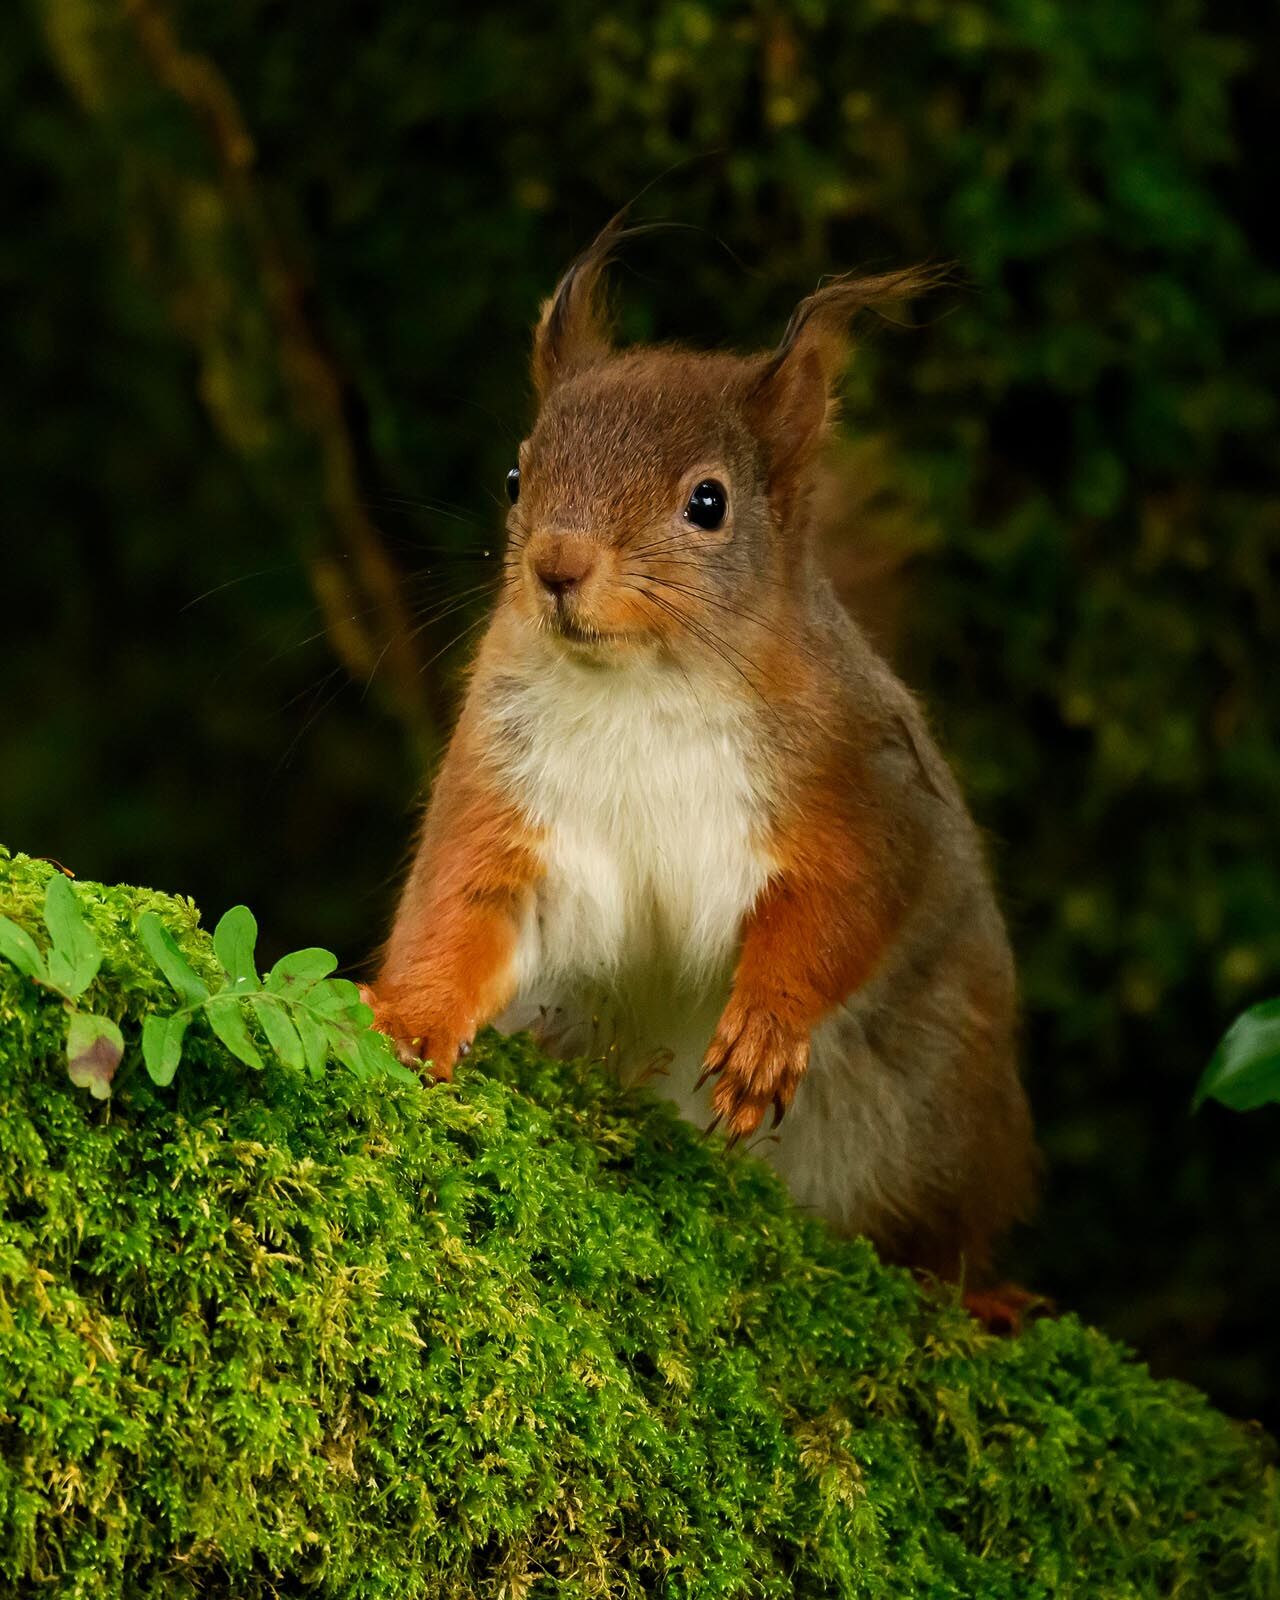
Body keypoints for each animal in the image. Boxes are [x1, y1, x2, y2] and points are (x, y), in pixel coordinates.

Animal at [366, 219, 1037, 1284]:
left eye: (708, 503)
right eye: (516, 476)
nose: (556, 564)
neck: (642, 684)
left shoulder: (861, 788)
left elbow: (841, 908)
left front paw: (764, 1034)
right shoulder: (505, 785)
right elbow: (465, 906)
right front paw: (410, 1016)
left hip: (939, 1116)